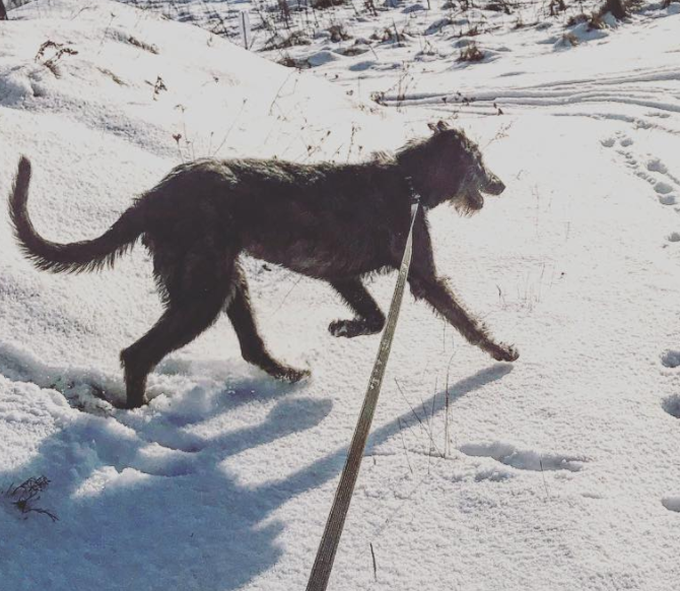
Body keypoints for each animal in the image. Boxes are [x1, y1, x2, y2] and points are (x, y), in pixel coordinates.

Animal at [7, 119, 516, 408]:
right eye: (479, 160)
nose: (502, 184)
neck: (408, 181)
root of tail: (150, 200)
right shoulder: (421, 274)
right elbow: (462, 319)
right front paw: (502, 352)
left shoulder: (342, 274)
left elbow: (374, 316)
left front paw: (342, 327)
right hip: (203, 291)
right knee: (137, 355)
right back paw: (140, 416)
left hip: (223, 278)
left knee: (250, 346)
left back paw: (289, 374)